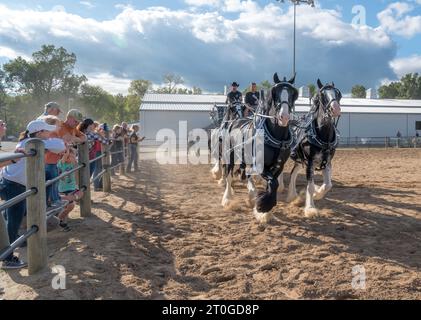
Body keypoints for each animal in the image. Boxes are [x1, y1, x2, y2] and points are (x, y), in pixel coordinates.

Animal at [221, 73, 296, 224]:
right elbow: (273, 183)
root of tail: (234, 121)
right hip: (230, 154)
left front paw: (265, 209)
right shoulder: (259, 165)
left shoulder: (278, 166)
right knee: (229, 175)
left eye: (293, 94)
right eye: (275, 93)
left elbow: (272, 184)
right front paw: (262, 206)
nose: (284, 116)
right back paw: (227, 198)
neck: (277, 137)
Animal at [286, 79, 342, 218]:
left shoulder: (327, 161)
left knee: (293, 173)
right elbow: (310, 186)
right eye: (321, 95)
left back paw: (292, 196)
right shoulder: (310, 161)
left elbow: (328, 185)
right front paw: (310, 208)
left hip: (299, 160)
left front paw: (316, 194)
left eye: (338, 94)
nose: (335, 109)